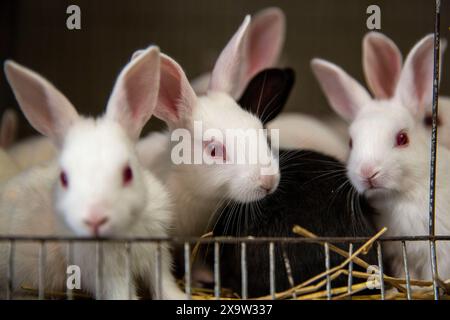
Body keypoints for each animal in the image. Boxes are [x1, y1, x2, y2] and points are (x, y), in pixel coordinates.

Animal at [0, 45, 185, 300]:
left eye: (128, 173)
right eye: (64, 178)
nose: (95, 219)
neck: (125, 231)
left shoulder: (157, 254)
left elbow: (164, 283)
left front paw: (180, 297)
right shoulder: (105, 274)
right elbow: (122, 294)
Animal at [312, 33, 450, 282]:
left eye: (403, 138)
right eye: (351, 142)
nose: (368, 172)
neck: (400, 197)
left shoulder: (439, 256)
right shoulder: (399, 257)